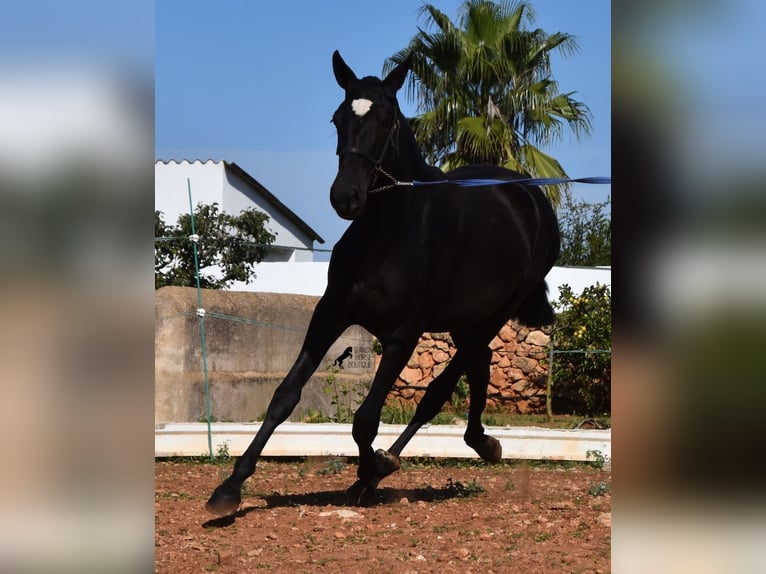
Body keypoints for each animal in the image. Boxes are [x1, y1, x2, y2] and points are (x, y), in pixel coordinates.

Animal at [207, 50, 560, 516]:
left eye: (388, 120)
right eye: (338, 118)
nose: (346, 197)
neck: (389, 234)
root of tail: (531, 197)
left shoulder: (403, 335)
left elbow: (365, 419)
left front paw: (370, 469)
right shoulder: (330, 314)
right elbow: (284, 396)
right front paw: (229, 489)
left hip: (497, 312)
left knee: (442, 387)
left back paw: (396, 462)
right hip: (465, 318)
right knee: (480, 360)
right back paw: (479, 442)